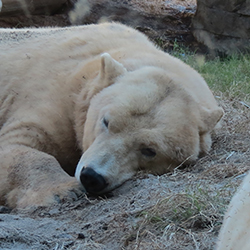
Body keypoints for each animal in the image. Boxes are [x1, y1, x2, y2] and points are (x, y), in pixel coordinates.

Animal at [0, 23, 223, 207]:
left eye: (149, 150)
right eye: (106, 121)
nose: (92, 177)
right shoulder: (53, 95)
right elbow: (20, 141)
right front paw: (63, 191)